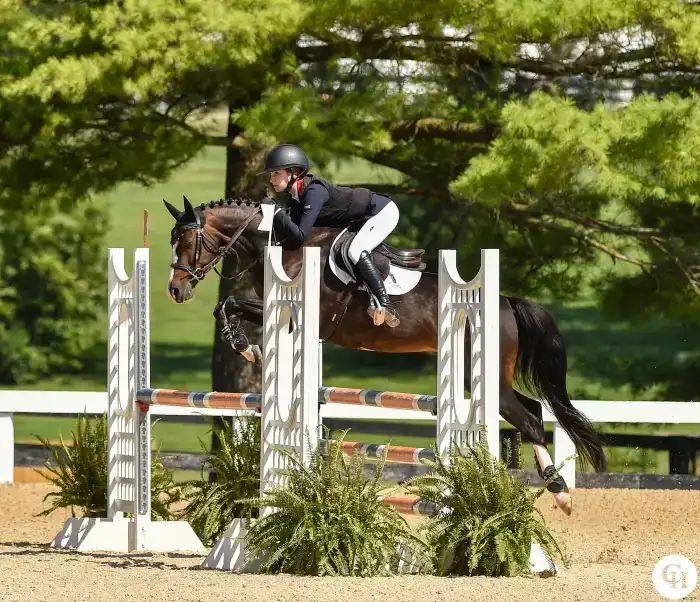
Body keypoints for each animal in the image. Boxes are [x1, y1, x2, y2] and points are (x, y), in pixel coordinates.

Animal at [164, 196, 607, 515]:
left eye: (186, 242)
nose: (175, 290)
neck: (283, 245)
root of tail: (506, 302)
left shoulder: (307, 316)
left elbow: (233, 304)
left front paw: (246, 347)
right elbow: (227, 306)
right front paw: (245, 346)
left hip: (481, 375)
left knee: (528, 420)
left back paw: (561, 493)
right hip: (490, 376)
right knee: (533, 410)